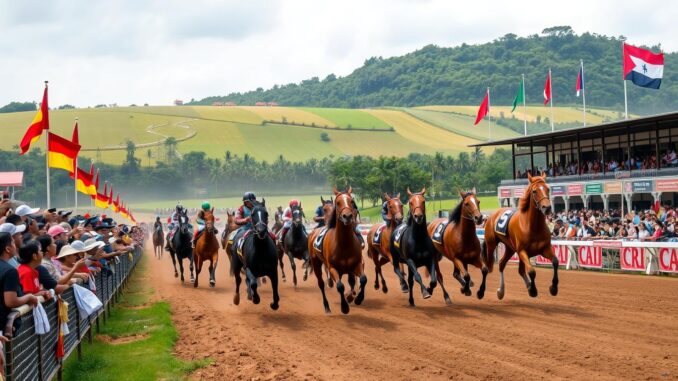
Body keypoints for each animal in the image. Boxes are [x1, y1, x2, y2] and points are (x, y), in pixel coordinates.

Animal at [312, 186, 366, 314]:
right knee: (321, 284)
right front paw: (344, 307)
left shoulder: (356, 264)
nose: (348, 216)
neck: (344, 244)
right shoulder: (332, 267)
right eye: (338, 203)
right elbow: (340, 286)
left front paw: (357, 298)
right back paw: (327, 307)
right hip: (316, 263)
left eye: (352, 201)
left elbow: (362, 279)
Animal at [484, 172, 556, 300]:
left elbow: (555, 262)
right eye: (534, 191)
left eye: (547, 189)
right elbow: (531, 271)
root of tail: (492, 215)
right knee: (491, 265)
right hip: (491, 244)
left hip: (510, 248)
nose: (547, 208)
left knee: (503, 264)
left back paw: (502, 290)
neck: (533, 226)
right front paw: (533, 289)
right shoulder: (522, 251)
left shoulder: (545, 249)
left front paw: (553, 288)